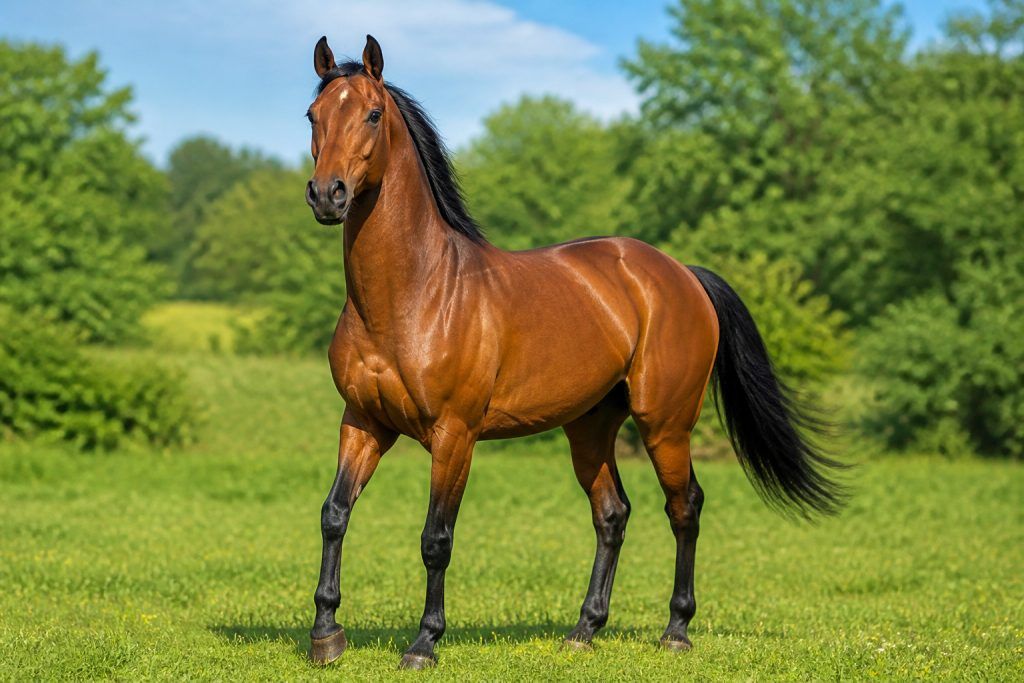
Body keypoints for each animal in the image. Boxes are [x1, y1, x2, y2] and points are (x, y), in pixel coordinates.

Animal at [303, 35, 844, 670]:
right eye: (313, 115)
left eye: (372, 113)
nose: (327, 195)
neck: (413, 294)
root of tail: (682, 273)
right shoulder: (363, 423)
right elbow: (334, 515)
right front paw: (325, 635)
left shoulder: (454, 435)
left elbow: (437, 538)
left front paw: (424, 643)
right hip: (589, 428)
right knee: (612, 514)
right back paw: (585, 628)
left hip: (666, 424)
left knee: (685, 507)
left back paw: (676, 630)